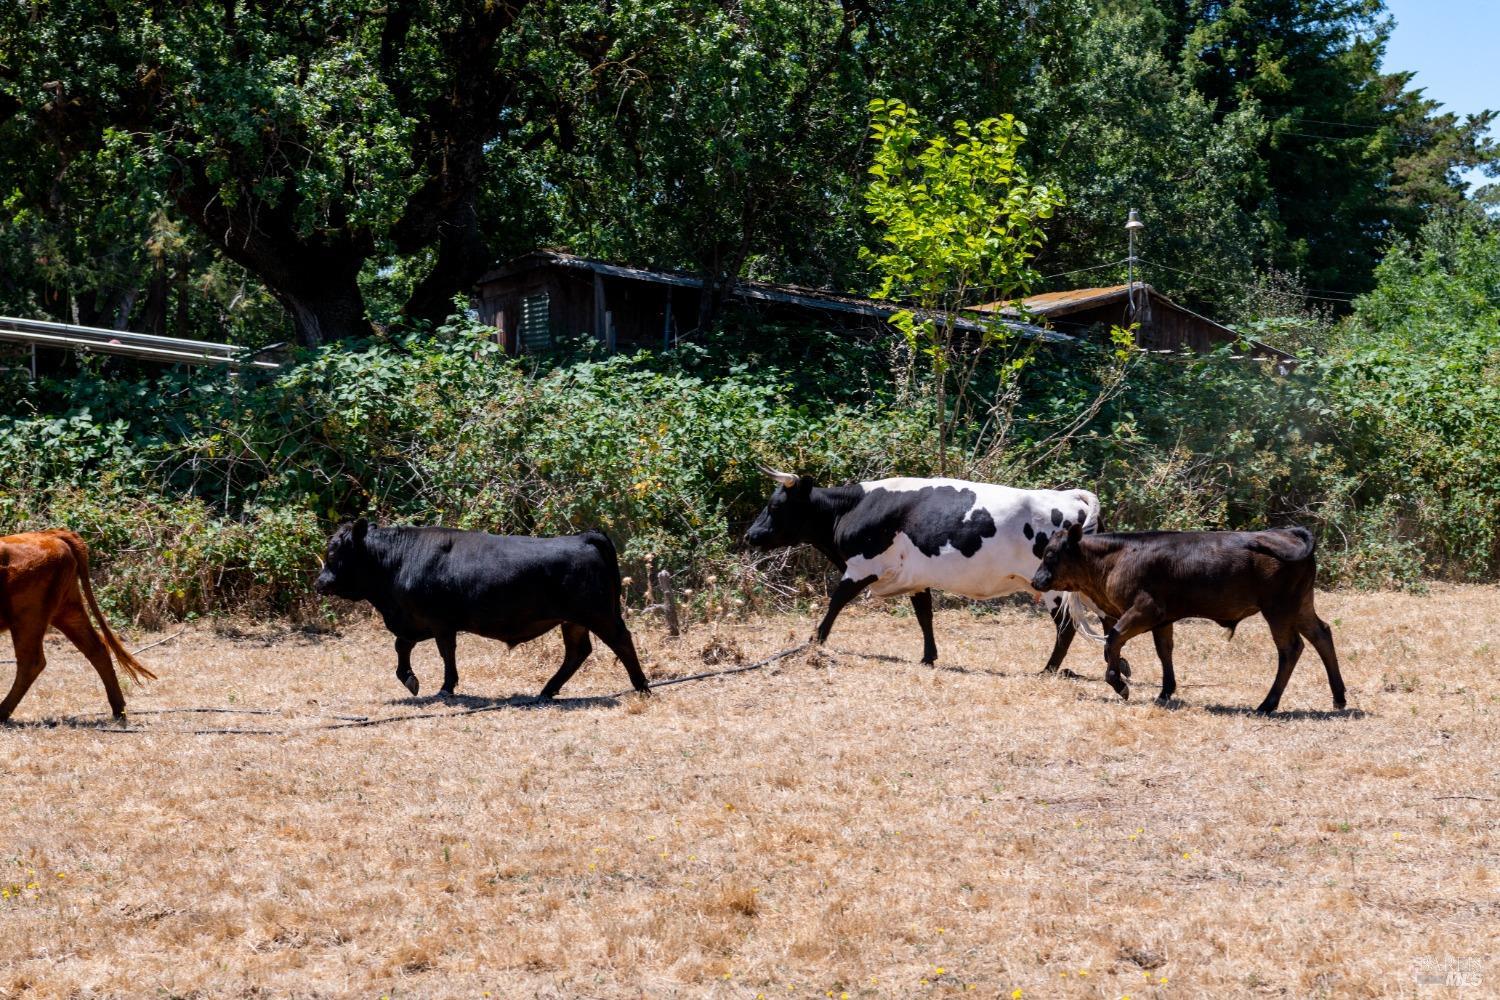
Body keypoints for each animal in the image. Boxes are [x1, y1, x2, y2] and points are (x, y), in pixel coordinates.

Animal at [0, 530, 155, 719]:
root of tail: (50, 534)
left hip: (28, 617)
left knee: (31, 662)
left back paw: (2, 712)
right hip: (68, 611)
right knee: (97, 649)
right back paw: (119, 709)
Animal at [313, 521, 648, 701]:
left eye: (334, 552)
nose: (319, 583)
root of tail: (583, 537)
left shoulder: (439, 622)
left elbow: (446, 654)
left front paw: (446, 688)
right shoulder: (413, 621)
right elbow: (401, 646)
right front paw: (410, 679)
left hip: (599, 614)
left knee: (622, 641)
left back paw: (642, 686)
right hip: (573, 620)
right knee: (577, 652)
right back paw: (546, 691)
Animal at [747, 470, 1110, 671]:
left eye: (775, 506)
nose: (750, 535)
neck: (852, 509)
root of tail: (1070, 497)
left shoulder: (861, 567)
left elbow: (835, 603)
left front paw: (815, 642)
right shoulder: (917, 578)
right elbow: (925, 615)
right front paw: (928, 657)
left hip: (1054, 588)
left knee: (1066, 627)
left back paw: (1048, 669)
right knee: (1108, 620)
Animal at [1032, 521, 1350, 716]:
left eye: (1051, 554)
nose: (1036, 581)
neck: (1116, 557)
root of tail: (1287, 532)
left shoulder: (1144, 610)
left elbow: (1113, 640)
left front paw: (1119, 684)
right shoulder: (1163, 619)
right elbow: (1164, 651)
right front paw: (1165, 692)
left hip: (1279, 610)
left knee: (1290, 649)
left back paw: (1267, 704)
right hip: (1300, 606)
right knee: (1322, 634)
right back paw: (1338, 697)